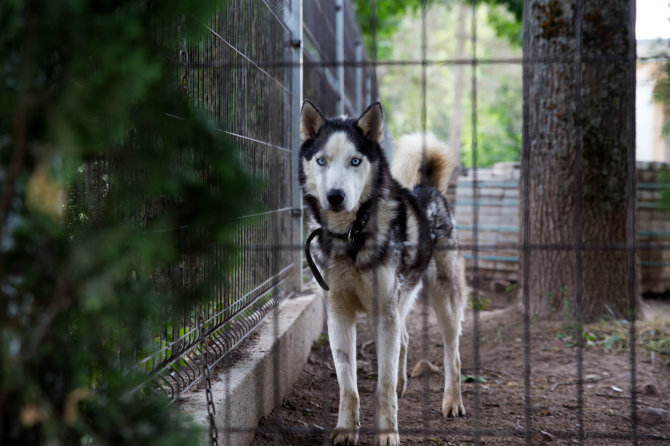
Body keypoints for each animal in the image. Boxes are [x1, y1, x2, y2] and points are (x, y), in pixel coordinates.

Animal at [300, 101, 468, 446]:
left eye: (355, 161)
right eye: (322, 160)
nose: (335, 196)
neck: (350, 237)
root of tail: (429, 189)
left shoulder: (383, 313)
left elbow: (383, 385)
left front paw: (389, 433)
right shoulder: (339, 313)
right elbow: (348, 385)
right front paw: (345, 430)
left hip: (442, 301)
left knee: (452, 353)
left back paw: (452, 401)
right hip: (399, 302)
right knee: (404, 337)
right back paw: (406, 384)